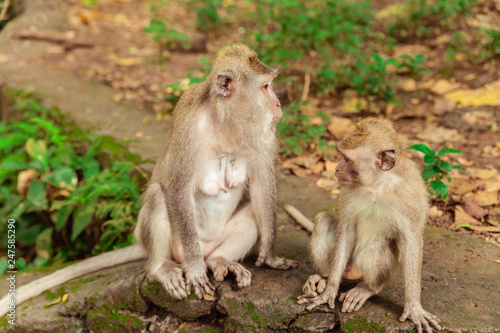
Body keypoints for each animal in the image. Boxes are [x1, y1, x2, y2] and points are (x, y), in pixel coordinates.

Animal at [0, 44, 296, 316]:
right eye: (265, 87)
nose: (278, 104)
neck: (226, 123)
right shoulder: (189, 128)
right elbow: (177, 189)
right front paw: (196, 271)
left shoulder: (264, 136)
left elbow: (262, 187)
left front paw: (269, 257)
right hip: (174, 247)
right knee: (157, 196)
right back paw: (163, 267)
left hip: (214, 243)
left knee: (250, 216)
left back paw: (221, 260)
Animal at [296, 117, 442, 332]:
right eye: (341, 155)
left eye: (346, 159)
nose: (336, 168)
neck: (378, 184)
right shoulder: (348, 190)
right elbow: (346, 229)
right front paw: (329, 291)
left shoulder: (410, 194)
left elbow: (411, 242)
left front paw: (415, 308)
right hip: (345, 267)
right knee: (323, 221)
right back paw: (323, 278)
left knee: (378, 245)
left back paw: (368, 288)